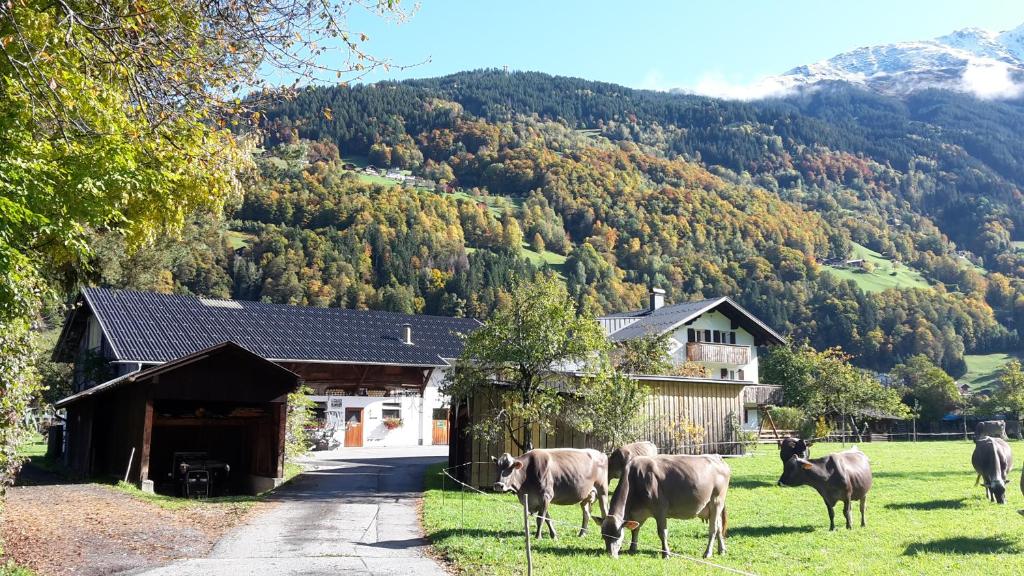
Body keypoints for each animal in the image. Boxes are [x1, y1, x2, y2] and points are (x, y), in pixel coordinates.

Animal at [593, 453, 729, 557]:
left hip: (716, 501)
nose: (610, 554)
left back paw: (708, 553)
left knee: (713, 529)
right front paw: (632, 548)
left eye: (618, 535)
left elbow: (662, 533)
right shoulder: (637, 513)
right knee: (719, 527)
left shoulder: (660, 510)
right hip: (713, 507)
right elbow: (635, 529)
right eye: (603, 536)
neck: (634, 480)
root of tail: (717, 457)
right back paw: (721, 550)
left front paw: (666, 553)